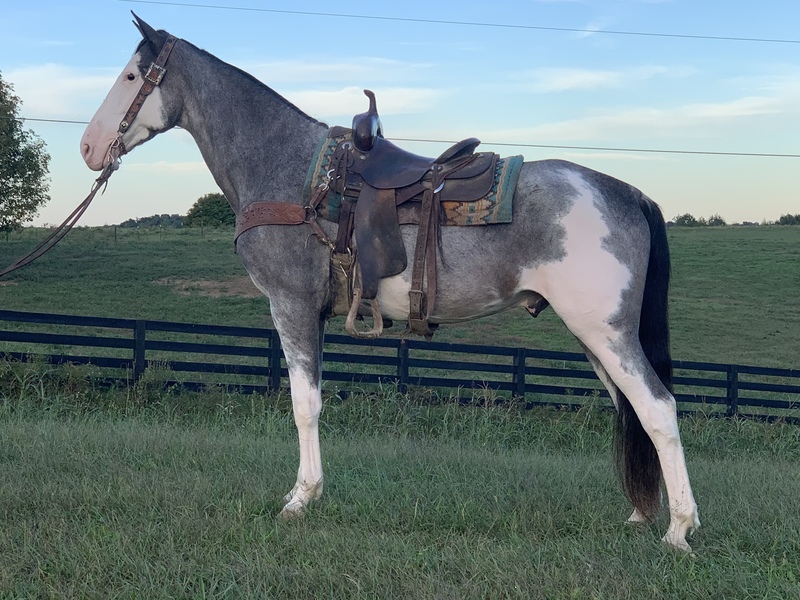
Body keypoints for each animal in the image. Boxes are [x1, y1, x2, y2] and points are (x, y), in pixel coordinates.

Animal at [78, 14, 696, 552]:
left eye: (131, 76)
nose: (88, 146)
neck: (292, 173)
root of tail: (626, 192)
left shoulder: (291, 306)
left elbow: (305, 404)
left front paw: (300, 499)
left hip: (605, 332)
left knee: (657, 408)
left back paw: (679, 530)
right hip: (595, 336)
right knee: (630, 410)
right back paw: (641, 514)